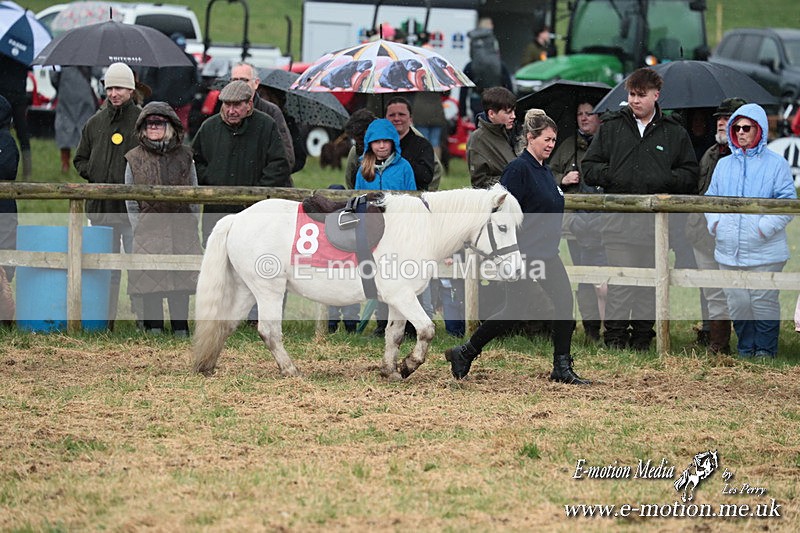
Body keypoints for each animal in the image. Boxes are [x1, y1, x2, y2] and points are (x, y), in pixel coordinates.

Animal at [192, 184, 524, 380]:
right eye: (502, 227)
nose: (518, 270)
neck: (424, 228)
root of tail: (236, 219)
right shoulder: (402, 296)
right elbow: (427, 331)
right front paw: (409, 365)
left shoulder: (398, 299)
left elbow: (394, 335)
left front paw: (390, 370)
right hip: (268, 290)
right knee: (269, 331)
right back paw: (291, 369)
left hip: (248, 290)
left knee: (225, 324)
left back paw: (207, 365)